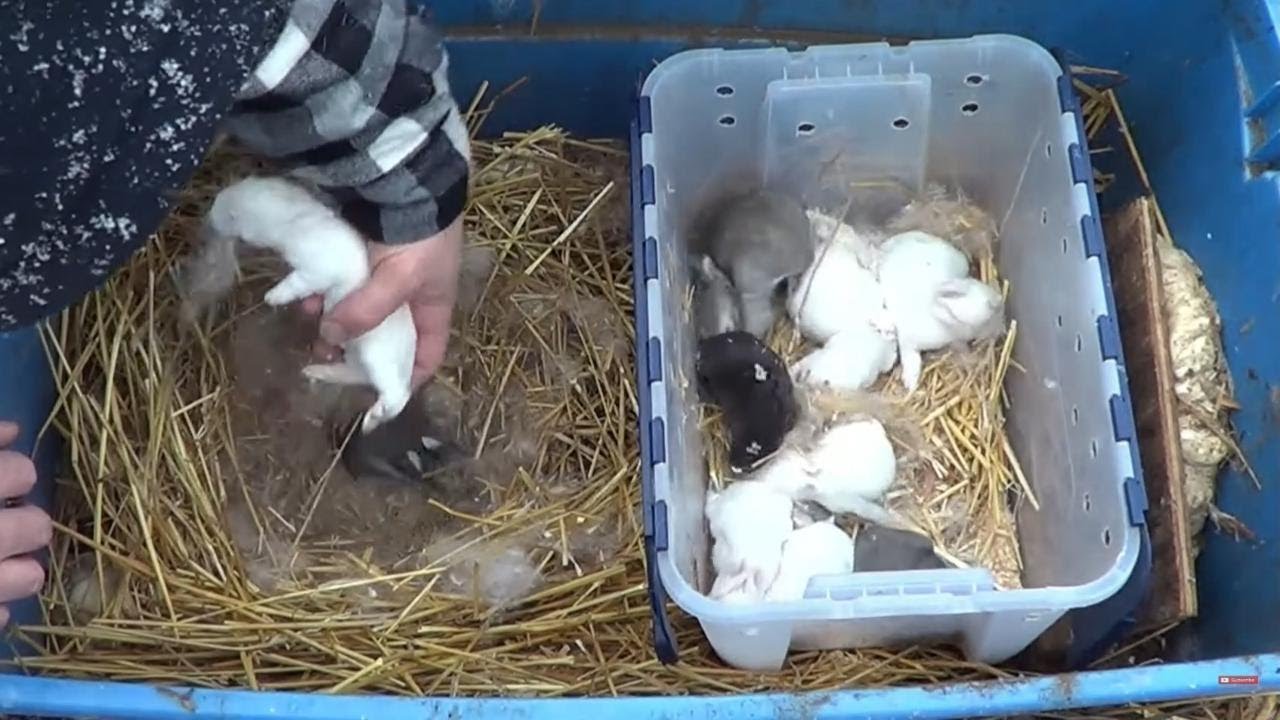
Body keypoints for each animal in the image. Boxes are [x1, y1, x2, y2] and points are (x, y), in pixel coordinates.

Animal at [201, 175, 416, 433]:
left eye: (227, 210)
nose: (211, 207)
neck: (298, 218)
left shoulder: (317, 270)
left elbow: (297, 283)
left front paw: (273, 296)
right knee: (357, 375)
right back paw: (318, 371)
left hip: (378, 355)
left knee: (398, 394)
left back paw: (371, 419)